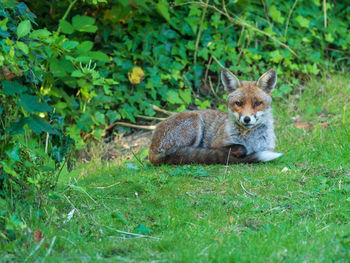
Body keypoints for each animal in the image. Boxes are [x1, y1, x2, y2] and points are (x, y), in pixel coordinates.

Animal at [149, 69, 284, 166]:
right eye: (238, 103)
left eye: (257, 103)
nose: (246, 119)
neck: (251, 140)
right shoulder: (215, 144)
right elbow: (240, 148)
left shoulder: (268, 147)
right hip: (195, 122)